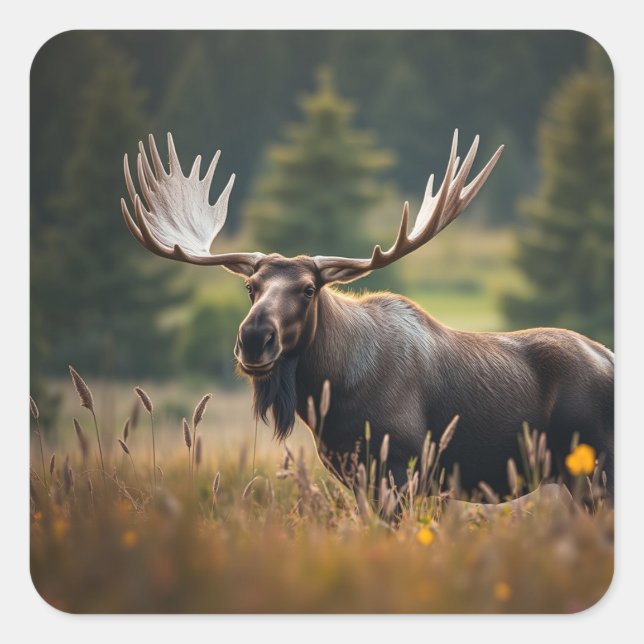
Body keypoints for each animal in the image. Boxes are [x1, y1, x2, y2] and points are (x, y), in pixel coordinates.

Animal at [120, 130, 614, 500]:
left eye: (309, 289)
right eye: (250, 287)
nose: (255, 338)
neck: (333, 391)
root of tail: (609, 357)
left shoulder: (402, 468)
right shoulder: (355, 474)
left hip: (595, 470)